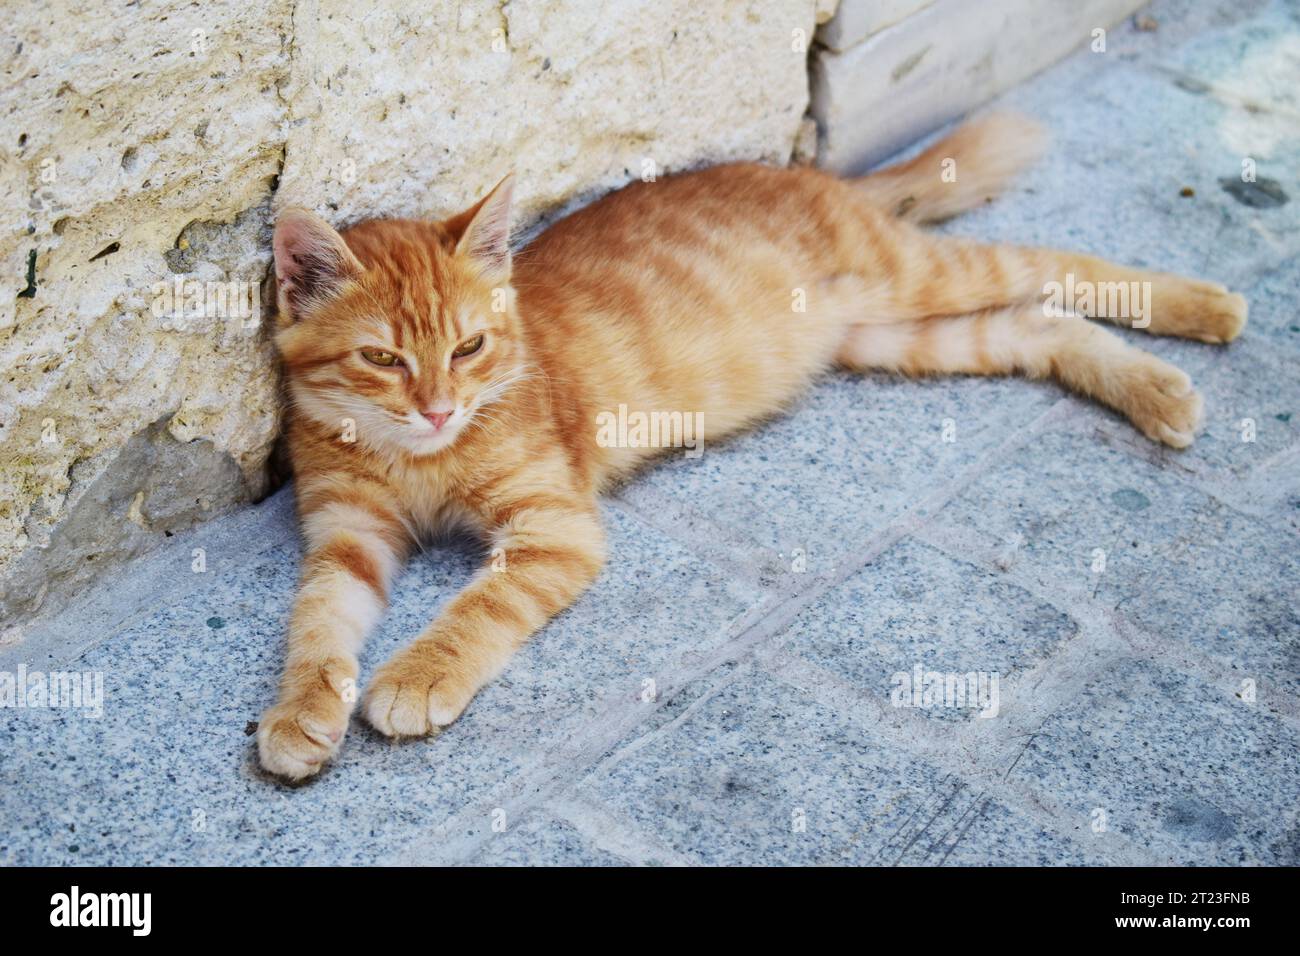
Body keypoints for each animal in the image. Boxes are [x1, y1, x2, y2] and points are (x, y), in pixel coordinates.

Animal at [258, 115, 1242, 780]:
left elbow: (477, 610)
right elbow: (316, 623)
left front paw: (419, 675)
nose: (437, 410)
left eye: (469, 348)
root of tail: (812, 174)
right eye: (383, 359)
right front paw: (301, 712)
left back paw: (1203, 307)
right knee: (1039, 323)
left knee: (1057, 264)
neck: (416, 460)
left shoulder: (553, 530)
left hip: (918, 279)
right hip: (895, 337)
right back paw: (1153, 388)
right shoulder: (348, 537)